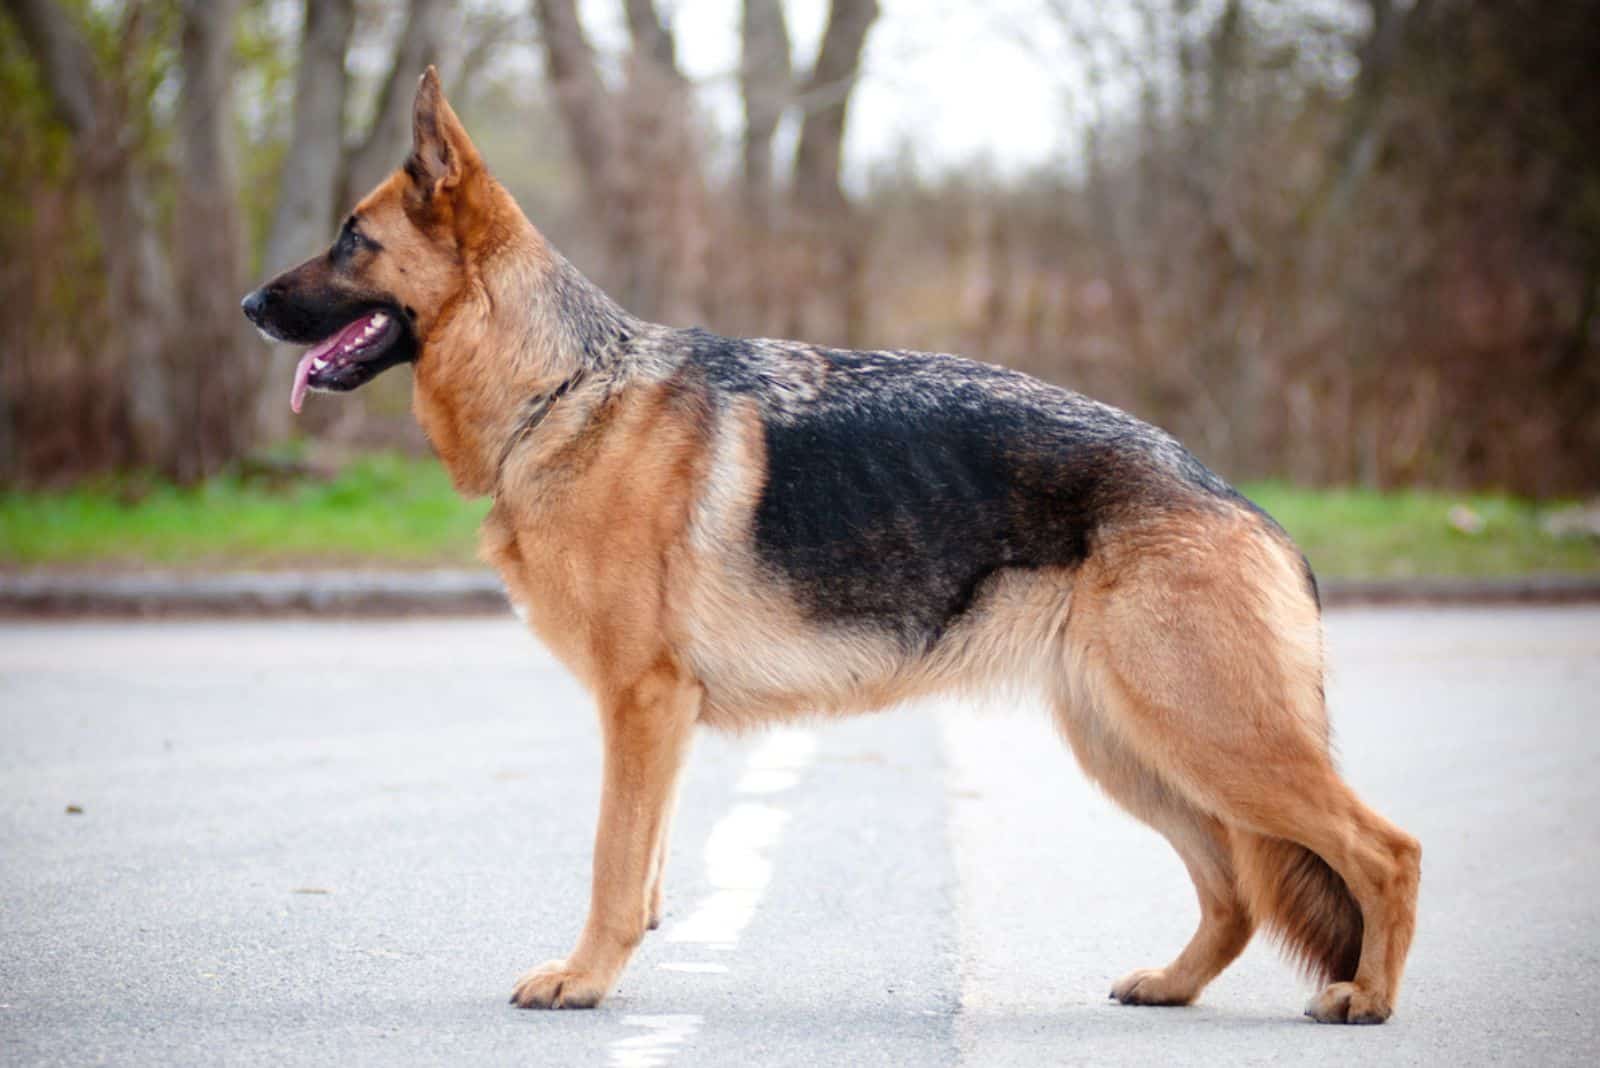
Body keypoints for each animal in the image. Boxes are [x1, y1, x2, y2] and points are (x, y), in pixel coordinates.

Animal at [243, 70, 1420, 1023]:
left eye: (350, 238)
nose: (250, 304)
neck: (563, 388)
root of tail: (1242, 504)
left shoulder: (640, 704)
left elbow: (613, 865)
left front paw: (582, 979)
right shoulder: (654, 722)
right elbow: (646, 868)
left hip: (1212, 738)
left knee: (1384, 851)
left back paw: (1367, 998)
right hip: (1136, 749)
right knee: (1234, 889)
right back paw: (1174, 985)